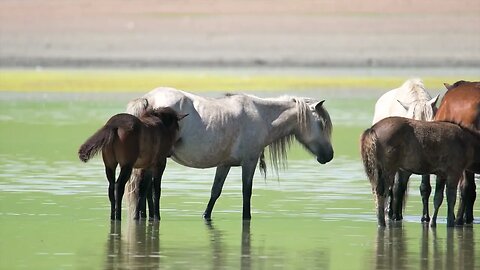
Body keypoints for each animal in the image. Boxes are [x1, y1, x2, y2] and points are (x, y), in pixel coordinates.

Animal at [125, 87, 332, 220]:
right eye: (321, 124)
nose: (329, 155)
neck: (262, 117)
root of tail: (148, 99)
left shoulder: (224, 164)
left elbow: (215, 192)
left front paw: (206, 216)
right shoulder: (249, 162)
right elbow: (246, 192)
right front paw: (246, 218)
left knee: (146, 189)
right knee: (143, 188)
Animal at [372, 78, 438, 224]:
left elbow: (425, 188)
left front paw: (425, 218)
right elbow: (397, 188)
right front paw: (395, 217)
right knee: (392, 187)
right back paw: (390, 213)